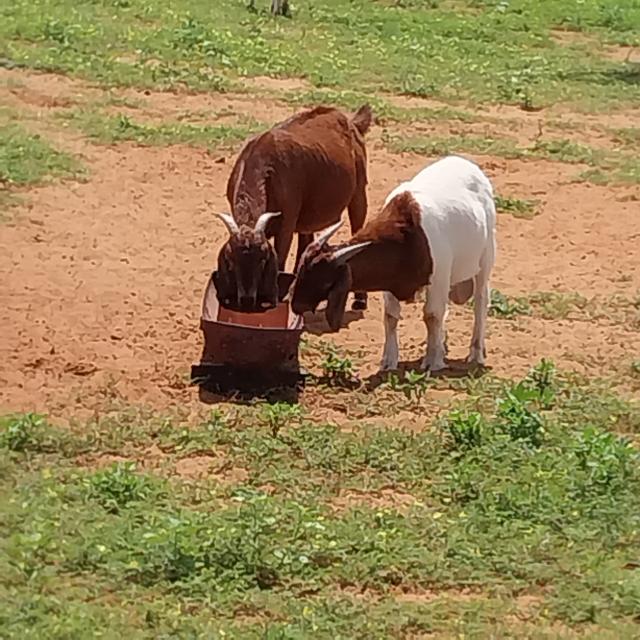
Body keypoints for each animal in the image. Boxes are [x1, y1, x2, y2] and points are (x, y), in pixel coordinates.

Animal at [212, 104, 372, 312]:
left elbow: (280, 260)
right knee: (306, 241)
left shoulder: (286, 224)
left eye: (262, 260)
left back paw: (360, 299)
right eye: (231, 261)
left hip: (359, 193)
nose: (247, 300)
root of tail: (350, 121)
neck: (263, 167)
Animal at [292, 155, 498, 372]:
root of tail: (468, 165)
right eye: (301, 271)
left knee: (481, 301)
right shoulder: (389, 285)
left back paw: (476, 353)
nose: (296, 305)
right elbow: (391, 316)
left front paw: (432, 361)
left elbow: (432, 315)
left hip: (486, 258)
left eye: (325, 281)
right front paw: (389, 361)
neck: (408, 231)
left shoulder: (439, 277)